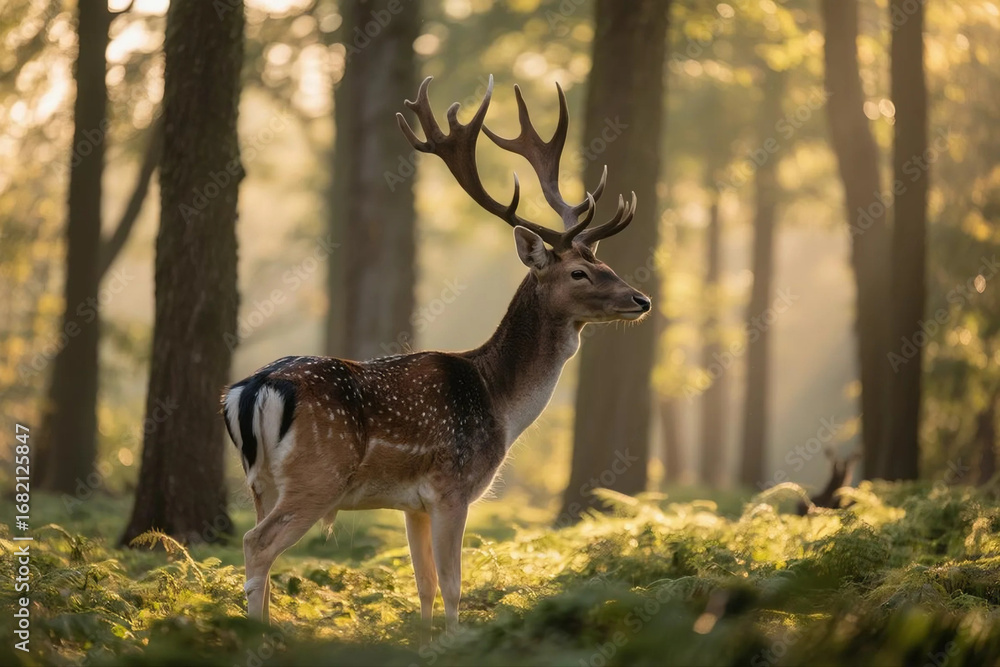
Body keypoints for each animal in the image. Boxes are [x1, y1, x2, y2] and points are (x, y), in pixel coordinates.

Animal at [222, 75, 651, 633]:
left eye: (605, 264)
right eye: (579, 272)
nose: (641, 300)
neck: (500, 402)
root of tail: (251, 390)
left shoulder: (413, 504)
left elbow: (422, 584)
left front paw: (423, 639)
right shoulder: (453, 486)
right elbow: (451, 584)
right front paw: (455, 639)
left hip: (259, 483)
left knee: (263, 554)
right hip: (316, 476)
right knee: (257, 545)